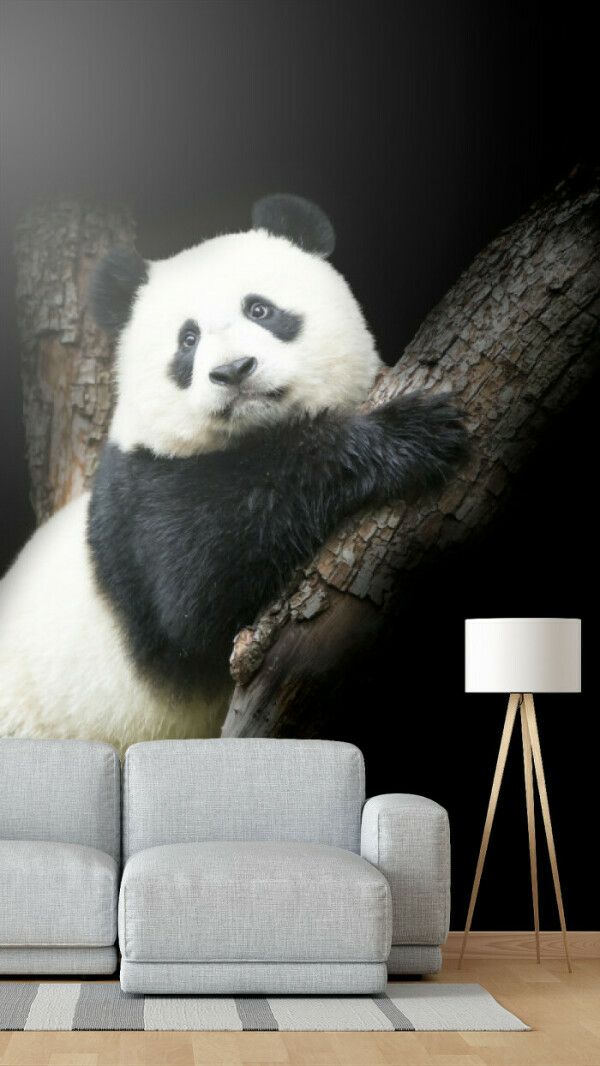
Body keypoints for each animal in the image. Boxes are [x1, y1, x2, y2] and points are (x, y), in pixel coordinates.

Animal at [0, 194, 469, 752]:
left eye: (260, 309)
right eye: (188, 339)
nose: (233, 371)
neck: (258, 434)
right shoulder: (142, 499)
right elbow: (197, 587)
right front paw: (406, 433)